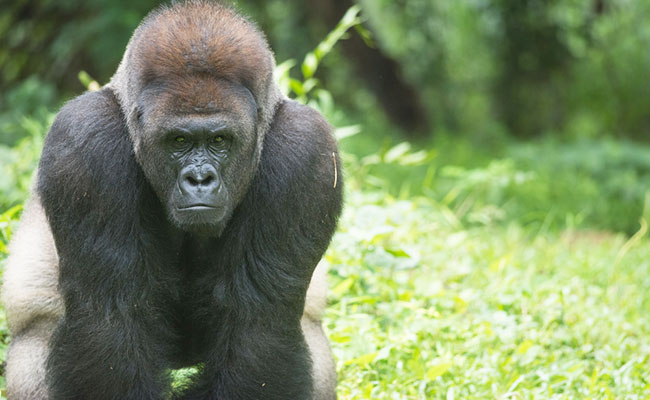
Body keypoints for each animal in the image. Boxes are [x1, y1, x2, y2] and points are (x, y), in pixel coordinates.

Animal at [0, 1, 342, 398]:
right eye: (178, 141)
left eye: (220, 140)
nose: (200, 179)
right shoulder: (86, 139)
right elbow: (112, 319)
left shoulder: (307, 150)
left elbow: (258, 325)